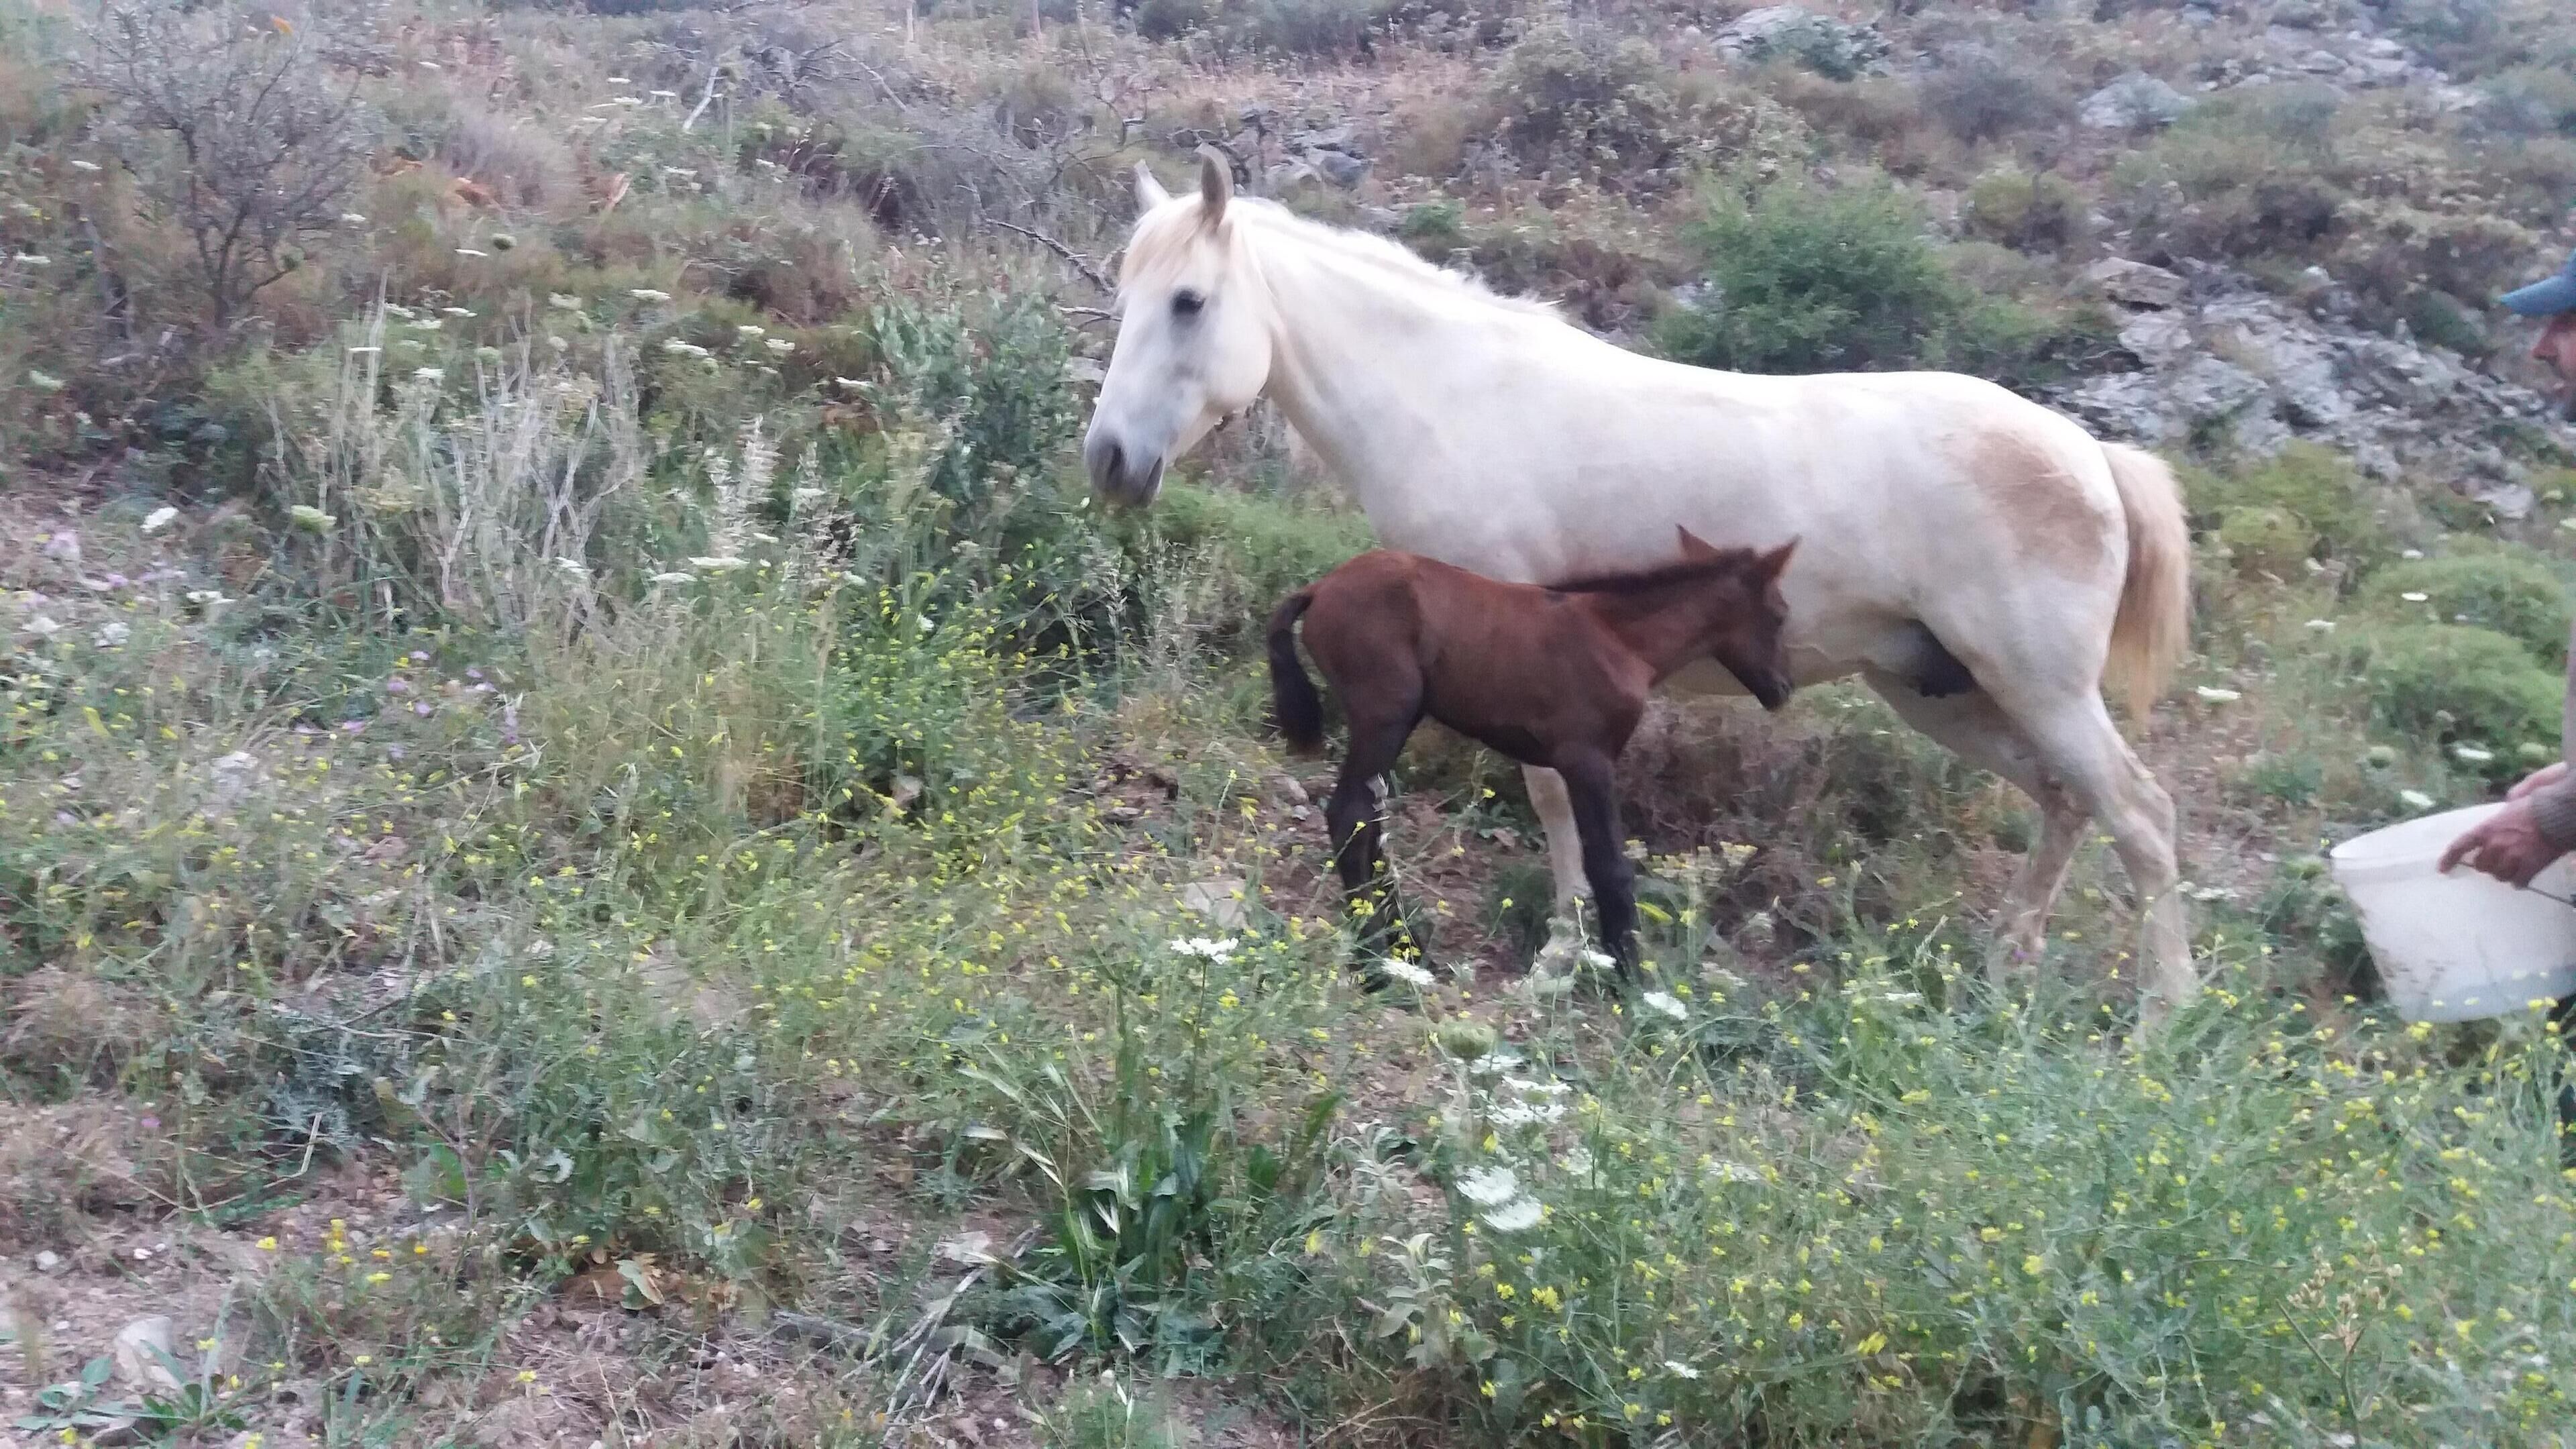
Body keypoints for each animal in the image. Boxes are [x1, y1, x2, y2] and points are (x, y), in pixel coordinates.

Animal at [1269, 529, 1799, 977]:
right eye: (1779, 614)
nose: (1782, 690)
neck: (1617, 638)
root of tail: (1321, 588)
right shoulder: (1588, 760)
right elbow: (1609, 867)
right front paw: (1631, 979)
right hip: (1385, 715)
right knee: (1350, 815)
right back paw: (1374, 962)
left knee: (1370, 821)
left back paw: (1409, 949)